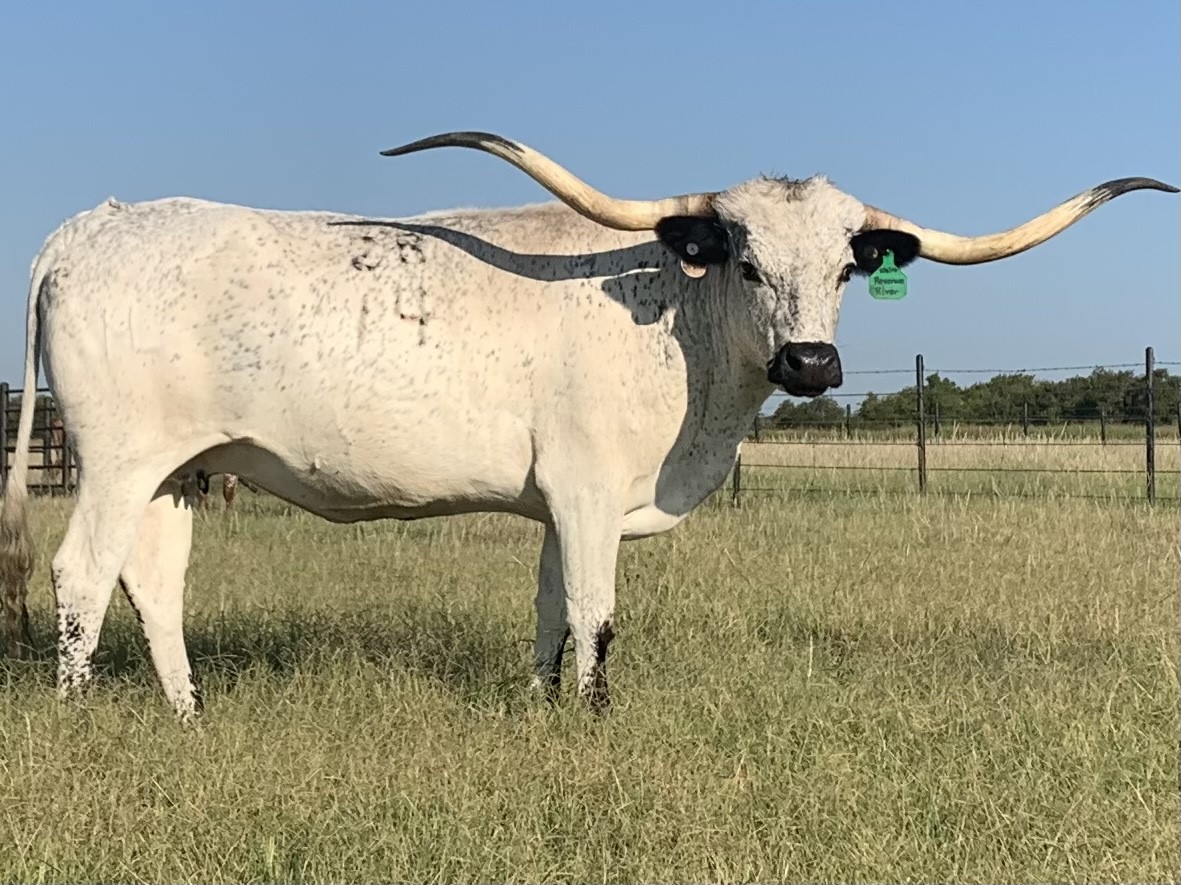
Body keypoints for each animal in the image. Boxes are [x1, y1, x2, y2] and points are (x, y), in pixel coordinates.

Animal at [0, 131, 1174, 721]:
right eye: (745, 258)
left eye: (846, 269)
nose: (810, 363)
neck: (676, 322)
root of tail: (92, 223)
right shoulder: (587, 488)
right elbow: (597, 612)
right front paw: (594, 718)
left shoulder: (558, 504)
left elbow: (548, 608)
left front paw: (537, 708)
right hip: (117, 460)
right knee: (80, 575)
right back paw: (75, 713)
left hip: (178, 468)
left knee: (152, 581)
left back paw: (189, 715)